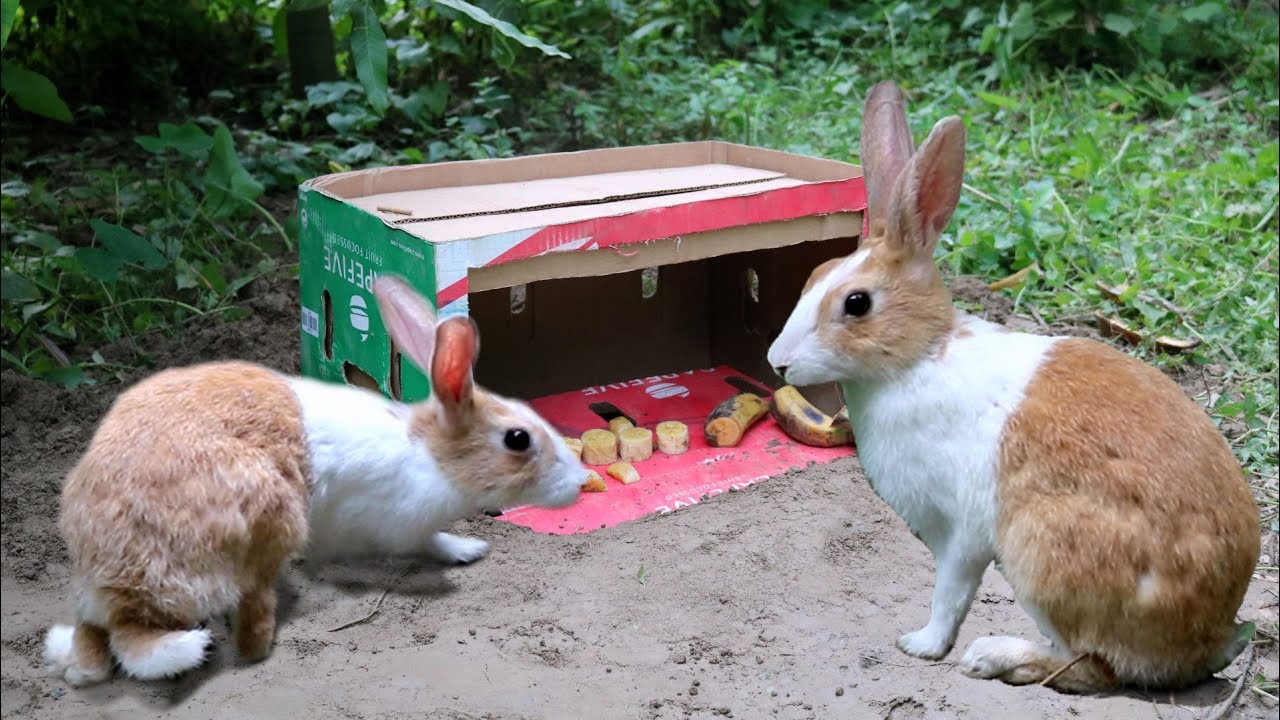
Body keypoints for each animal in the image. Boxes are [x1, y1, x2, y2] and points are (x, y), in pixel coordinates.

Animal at [42, 275, 586, 686]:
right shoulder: (397, 524)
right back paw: (254, 644)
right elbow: (428, 541)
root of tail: (120, 591)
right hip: (269, 525)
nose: (580, 482)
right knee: (244, 618)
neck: (429, 453)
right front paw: (467, 550)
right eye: (518, 439)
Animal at [766, 81, 1260, 693]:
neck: (919, 357)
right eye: (813, 278)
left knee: (1094, 667)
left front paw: (920, 646)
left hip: (1041, 551)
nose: (778, 363)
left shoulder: (960, 534)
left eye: (856, 304)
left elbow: (950, 595)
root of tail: (1208, 636)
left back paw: (992, 656)